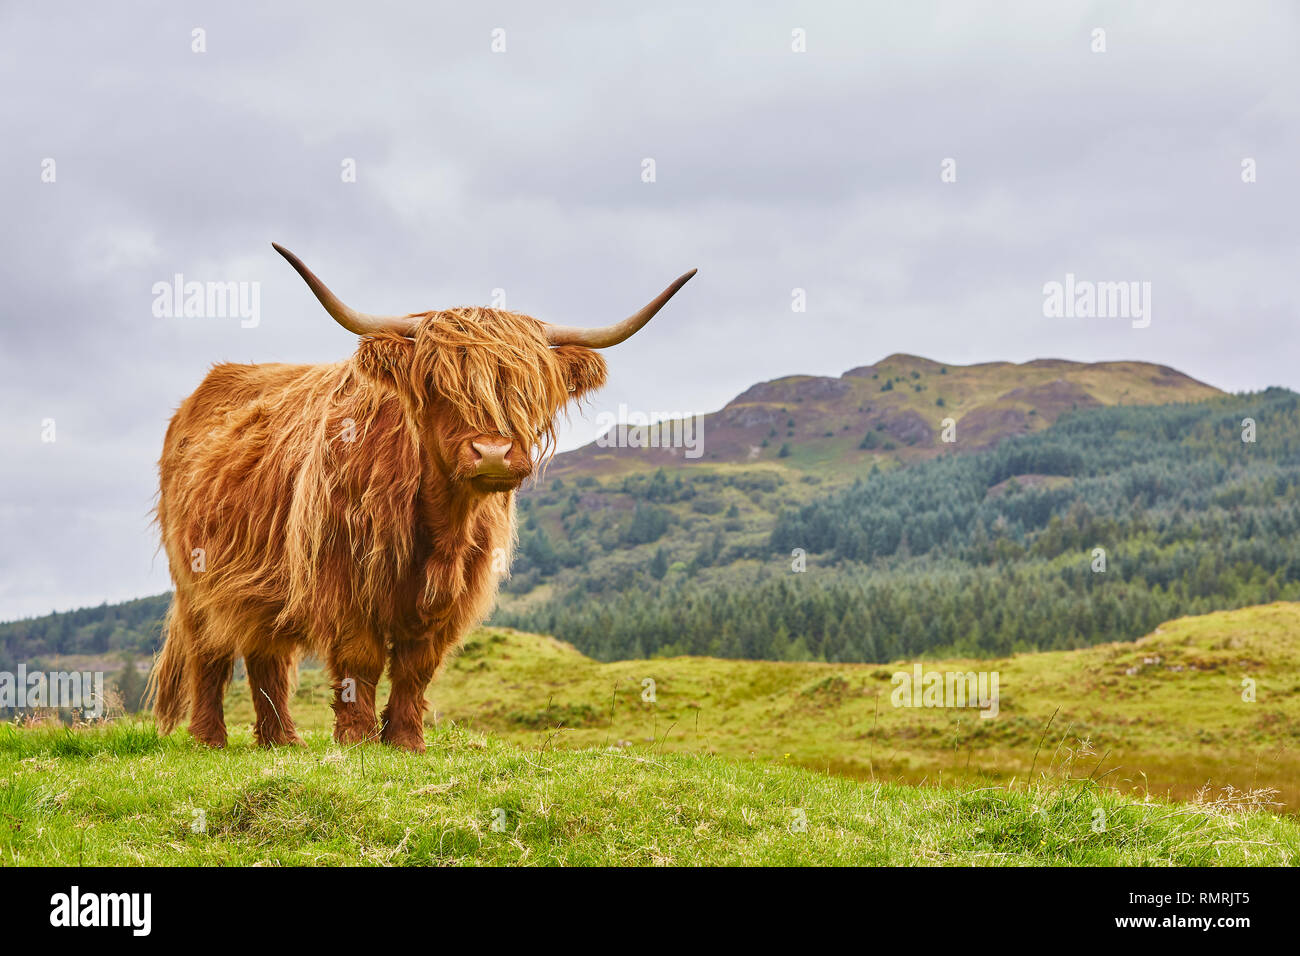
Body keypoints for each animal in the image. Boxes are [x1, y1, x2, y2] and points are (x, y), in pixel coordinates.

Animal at [147, 243, 696, 749]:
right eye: (436, 384)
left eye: (530, 387)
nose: (493, 453)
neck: (441, 526)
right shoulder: (343, 581)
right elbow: (360, 661)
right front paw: (358, 741)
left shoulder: (455, 596)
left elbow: (417, 667)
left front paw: (407, 741)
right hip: (195, 578)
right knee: (209, 653)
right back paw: (210, 739)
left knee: (266, 654)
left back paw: (282, 741)